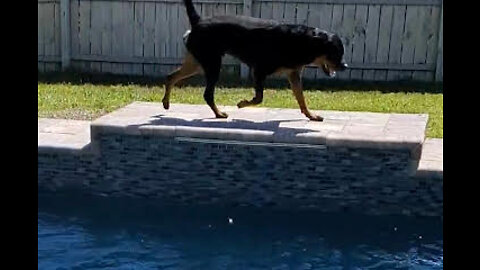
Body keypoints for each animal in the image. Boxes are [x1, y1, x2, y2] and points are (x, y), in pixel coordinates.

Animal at [163, 0, 346, 121]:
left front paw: (310, 115)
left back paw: (166, 102)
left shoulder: (293, 74)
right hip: (212, 63)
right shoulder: (259, 71)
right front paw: (243, 103)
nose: (345, 65)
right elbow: (259, 98)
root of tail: (198, 21)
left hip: (198, 62)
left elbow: (301, 97)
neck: (304, 42)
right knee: (207, 94)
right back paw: (219, 113)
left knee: (171, 76)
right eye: (336, 53)